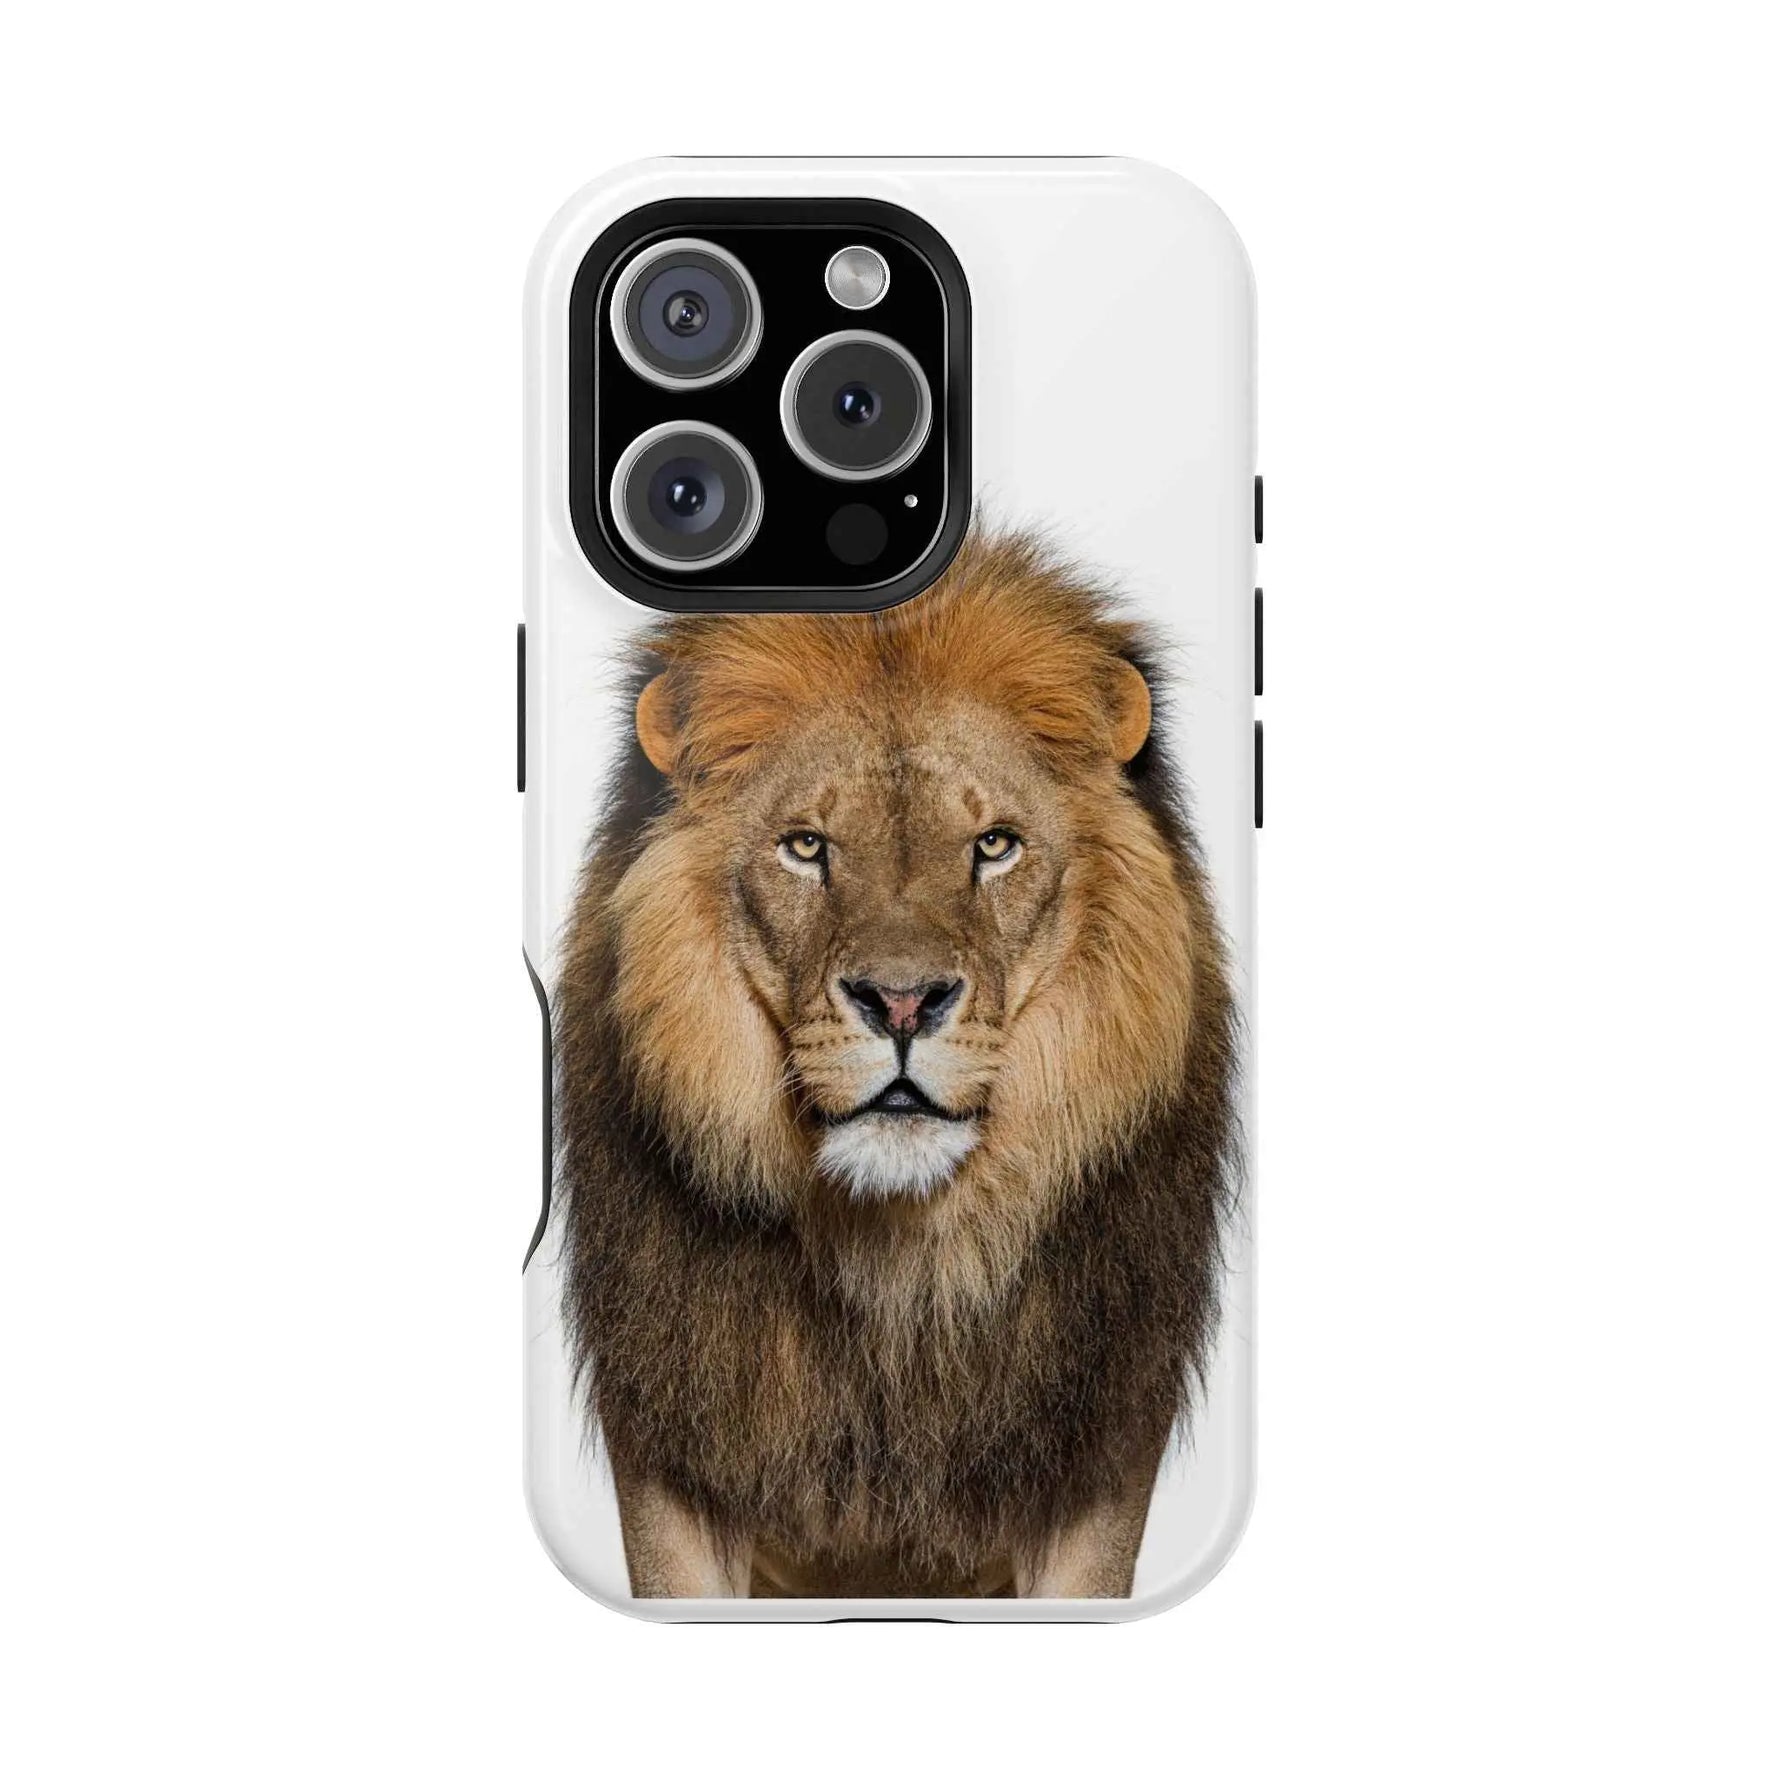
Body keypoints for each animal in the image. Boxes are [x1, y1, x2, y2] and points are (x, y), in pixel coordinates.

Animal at [555, 529, 1240, 1599]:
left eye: (994, 846)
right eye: (806, 847)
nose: (905, 1003)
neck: (899, 1265)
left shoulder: (1100, 1455)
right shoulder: (669, 1446)